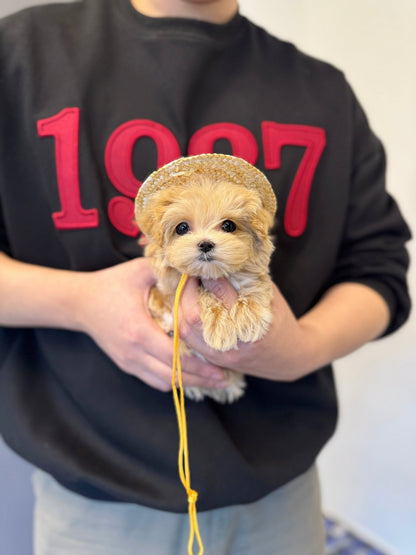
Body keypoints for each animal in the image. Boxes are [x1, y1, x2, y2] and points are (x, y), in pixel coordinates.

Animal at [134, 154, 276, 402]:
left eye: (228, 225)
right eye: (182, 228)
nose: (205, 244)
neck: (211, 274)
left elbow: (254, 282)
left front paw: (251, 318)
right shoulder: (168, 290)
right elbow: (204, 295)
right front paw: (220, 329)